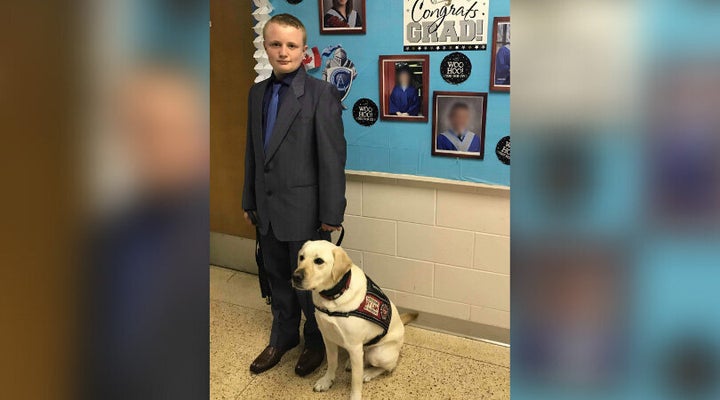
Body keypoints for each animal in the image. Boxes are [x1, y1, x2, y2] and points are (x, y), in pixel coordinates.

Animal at [292, 241, 416, 400]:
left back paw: (368, 373)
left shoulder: (355, 346)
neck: (334, 295)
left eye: (318, 261)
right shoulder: (328, 338)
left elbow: (356, 380)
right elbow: (332, 363)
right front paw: (327, 381)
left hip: (378, 354)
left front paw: (355, 395)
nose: (295, 276)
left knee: (387, 367)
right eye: (301, 257)